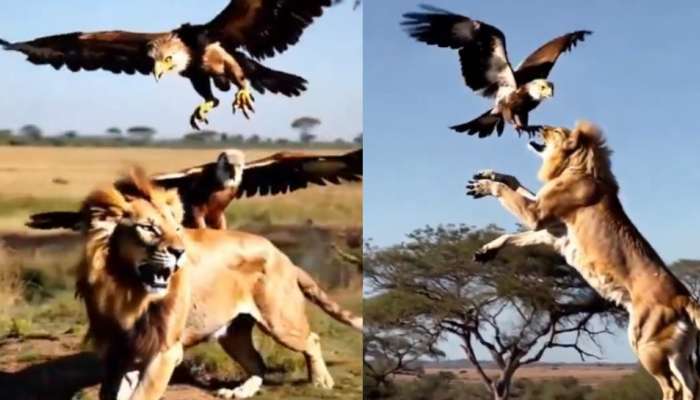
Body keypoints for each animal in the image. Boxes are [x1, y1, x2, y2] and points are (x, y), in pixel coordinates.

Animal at [72, 168, 362, 400]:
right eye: (149, 228)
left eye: (178, 228)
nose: (180, 252)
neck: (127, 289)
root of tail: (283, 256)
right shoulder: (120, 351)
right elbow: (113, 392)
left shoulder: (164, 351)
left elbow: (143, 394)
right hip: (233, 333)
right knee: (258, 364)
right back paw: (239, 392)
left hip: (280, 320)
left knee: (311, 340)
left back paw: (321, 381)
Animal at [466, 122, 700, 400]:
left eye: (554, 131)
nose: (536, 126)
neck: (576, 166)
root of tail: (684, 297)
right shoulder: (552, 233)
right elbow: (514, 208)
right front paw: (486, 248)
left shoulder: (537, 216)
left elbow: (509, 195)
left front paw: (484, 186)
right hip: (678, 353)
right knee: (691, 385)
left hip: (645, 343)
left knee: (672, 386)